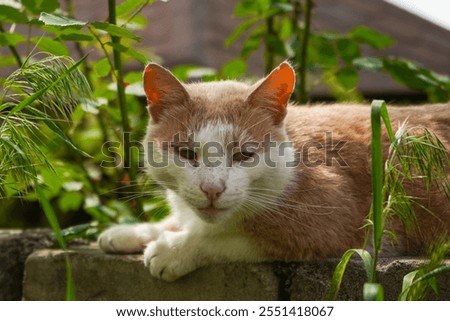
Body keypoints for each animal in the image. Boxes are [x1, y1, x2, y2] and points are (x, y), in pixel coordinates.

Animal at [99, 62, 450, 280]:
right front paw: (132, 232)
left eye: (245, 154)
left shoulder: (339, 225)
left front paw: (175, 249)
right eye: (186, 153)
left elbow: (232, 237)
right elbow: (182, 221)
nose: (212, 189)